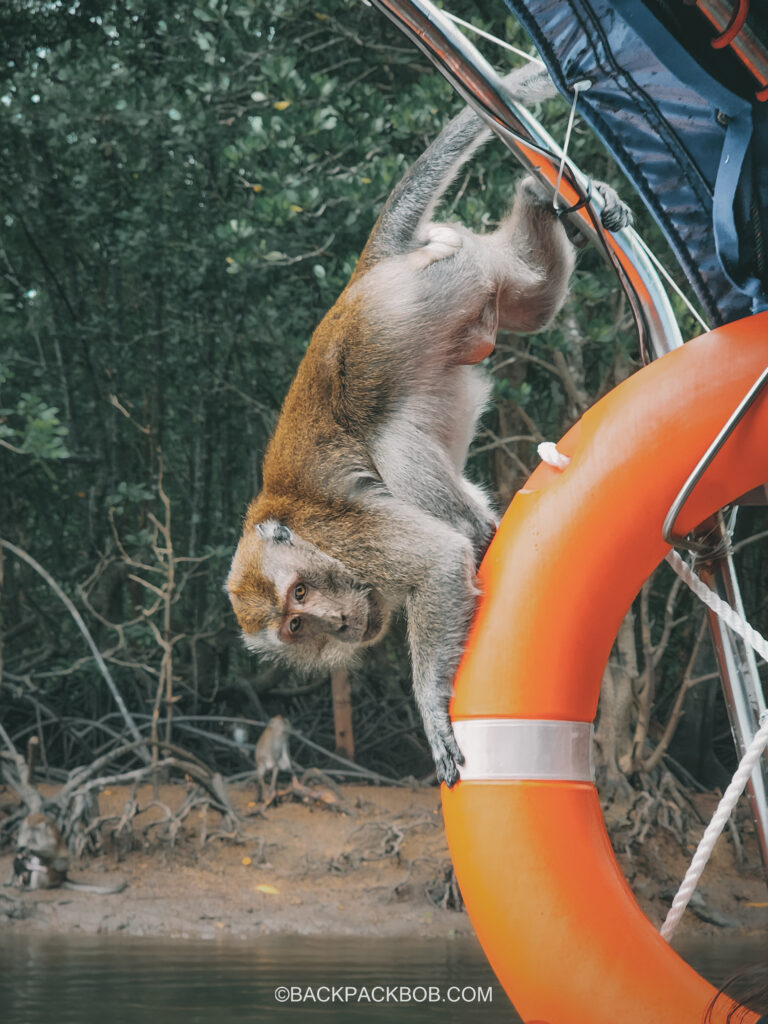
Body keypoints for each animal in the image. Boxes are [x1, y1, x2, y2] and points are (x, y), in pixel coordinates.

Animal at [225, 64, 634, 782]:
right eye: (296, 625)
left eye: (301, 593)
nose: (334, 621)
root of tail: (363, 278)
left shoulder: (347, 531)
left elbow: (440, 564)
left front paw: (430, 705)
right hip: (460, 293)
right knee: (528, 302)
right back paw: (536, 195)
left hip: (424, 296)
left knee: (395, 449)